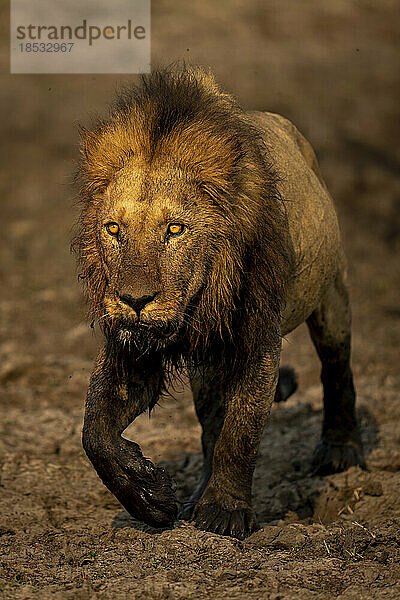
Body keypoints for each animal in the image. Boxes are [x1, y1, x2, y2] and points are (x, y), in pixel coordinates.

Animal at [74, 65, 366, 540]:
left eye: (175, 229)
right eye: (114, 229)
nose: (134, 300)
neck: (197, 301)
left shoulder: (257, 341)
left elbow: (241, 431)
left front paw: (225, 515)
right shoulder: (131, 347)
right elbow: (94, 432)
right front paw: (152, 497)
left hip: (331, 295)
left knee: (337, 368)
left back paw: (340, 451)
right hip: (208, 364)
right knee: (211, 424)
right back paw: (195, 497)